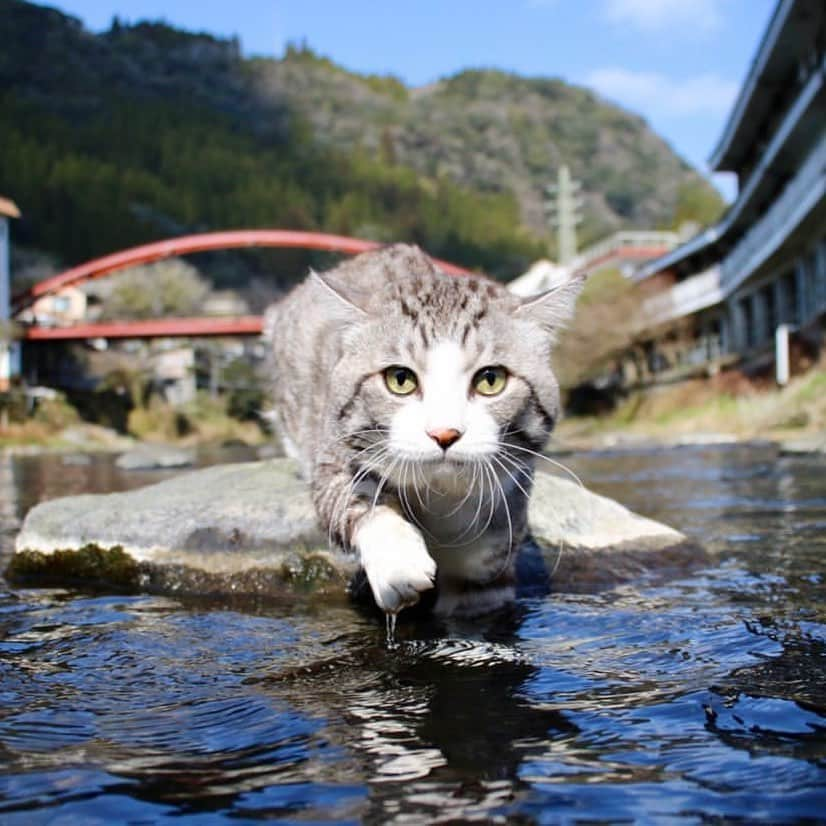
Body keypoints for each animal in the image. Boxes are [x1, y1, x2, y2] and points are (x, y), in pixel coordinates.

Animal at [264, 241, 580, 616]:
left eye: (491, 380)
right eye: (400, 379)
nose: (444, 433)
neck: (441, 498)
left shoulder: (489, 560)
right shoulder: (334, 451)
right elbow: (353, 495)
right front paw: (398, 563)